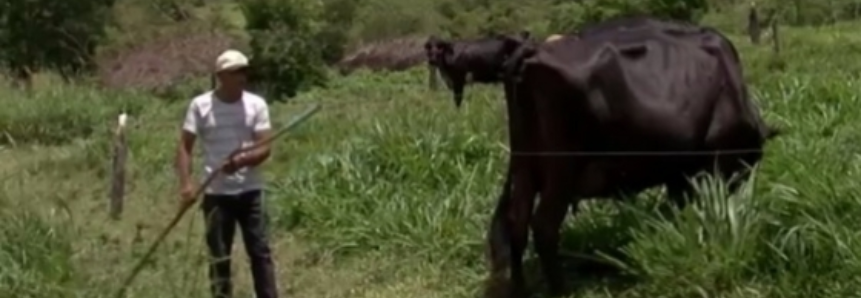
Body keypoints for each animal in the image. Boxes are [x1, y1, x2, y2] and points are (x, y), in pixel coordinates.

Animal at [484, 18, 780, 296]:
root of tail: (532, 49)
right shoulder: (713, 162)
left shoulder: (678, 171)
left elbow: (680, 207)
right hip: (561, 169)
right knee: (543, 225)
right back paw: (561, 290)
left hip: (525, 166)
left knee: (517, 222)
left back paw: (520, 288)